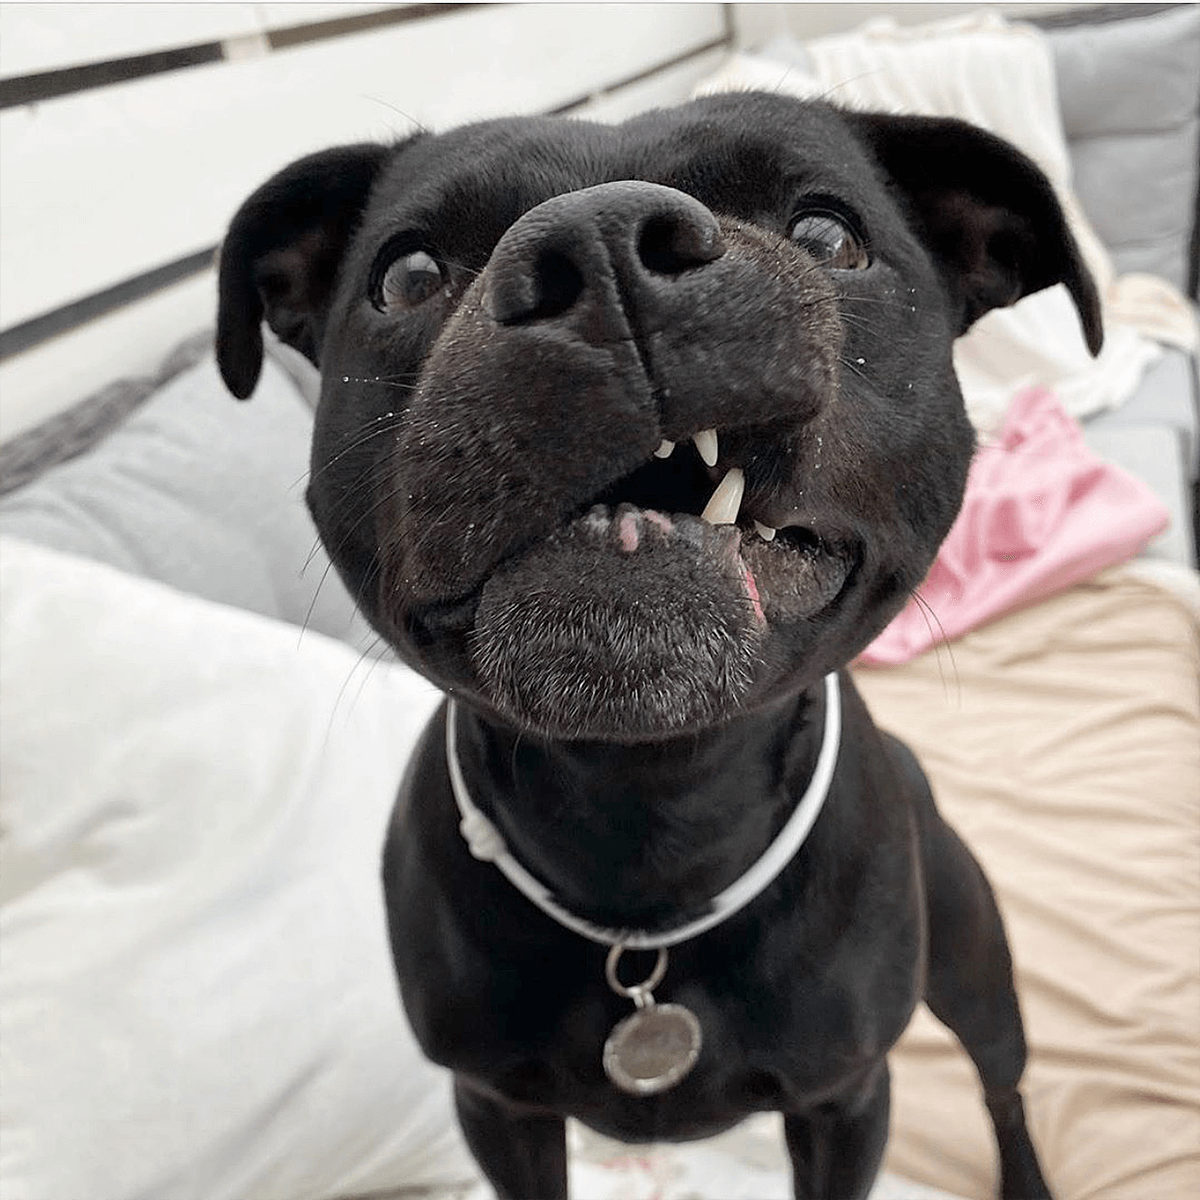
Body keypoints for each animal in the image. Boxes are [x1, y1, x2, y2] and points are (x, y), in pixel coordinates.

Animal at [213, 96, 1099, 1200]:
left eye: (829, 234)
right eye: (406, 274)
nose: (602, 244)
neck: (651, 815)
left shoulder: (847, 1099)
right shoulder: (498, 1109)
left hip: (978, 971)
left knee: (1003, 1086)